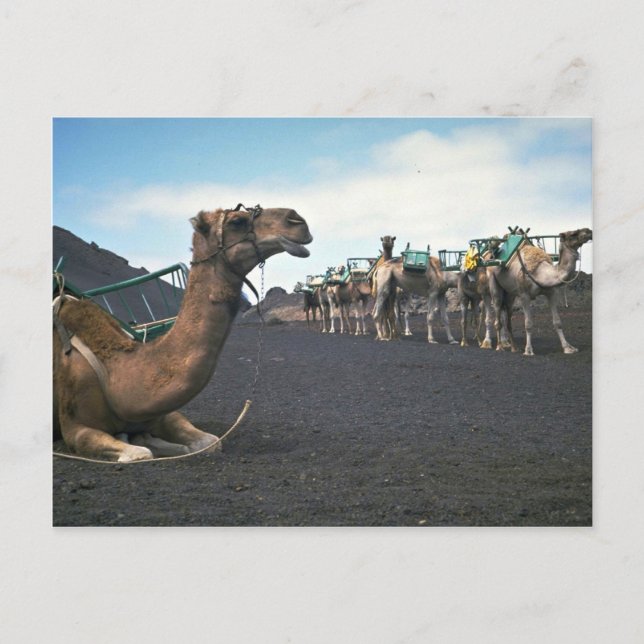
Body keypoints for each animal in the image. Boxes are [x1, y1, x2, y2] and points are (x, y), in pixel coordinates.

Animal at [53, 206, 313, 462]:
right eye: (237, 221)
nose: (297, 220)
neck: (115, 371)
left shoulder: (163, 414)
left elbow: (210, 443)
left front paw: (148, 438)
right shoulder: (75, 428)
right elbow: (140, 454)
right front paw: (138, 441)